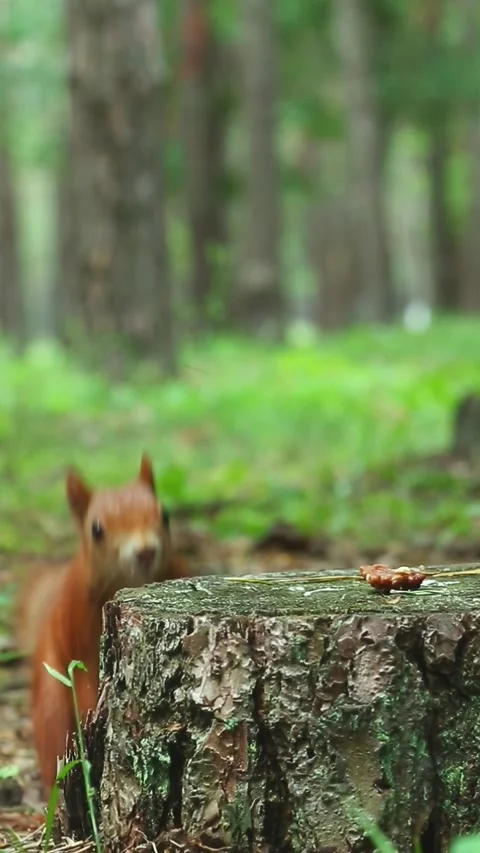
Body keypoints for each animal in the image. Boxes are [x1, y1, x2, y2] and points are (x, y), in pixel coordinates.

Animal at [17, 453, 188, 793]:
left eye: (165, 515)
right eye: (96, 530)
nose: (145, 551)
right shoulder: (78, 626)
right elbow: (85, 678)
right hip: (52, 703)